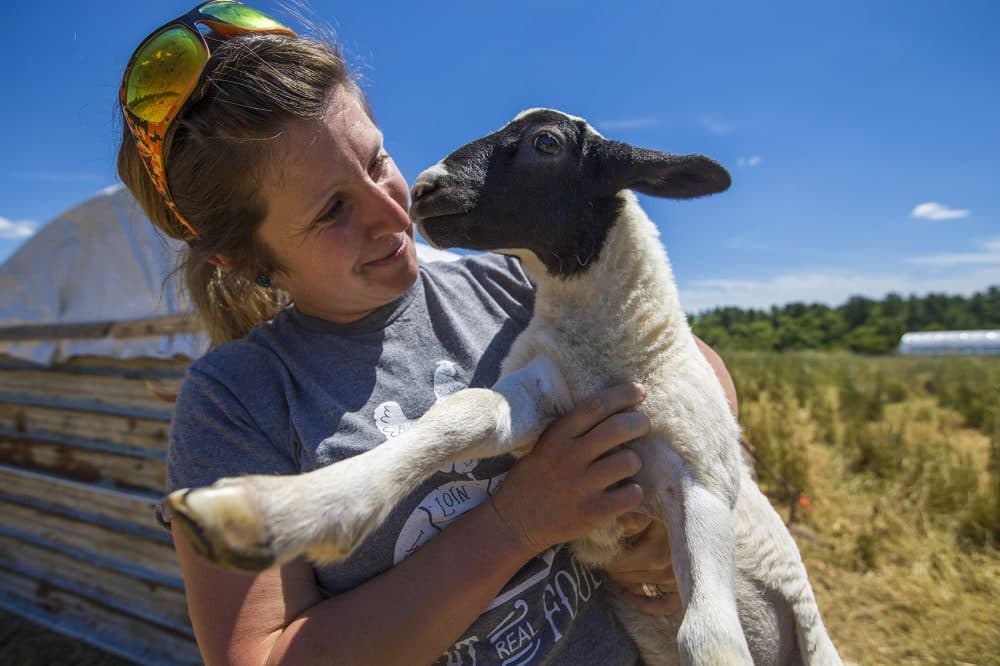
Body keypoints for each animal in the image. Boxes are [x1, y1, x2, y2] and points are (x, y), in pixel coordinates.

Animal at [170, 106, 844, 660]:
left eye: (546, 142)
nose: (426, 188)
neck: (604, 356)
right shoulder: (538, 394)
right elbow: (463, 413)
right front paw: (271, 510)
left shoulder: (701, 475)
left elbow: (710, 639)